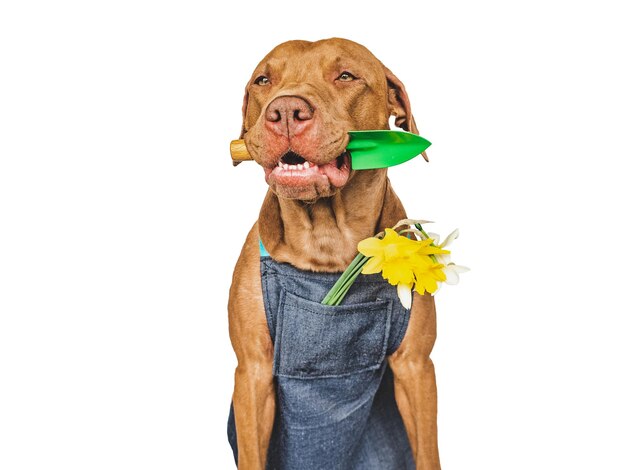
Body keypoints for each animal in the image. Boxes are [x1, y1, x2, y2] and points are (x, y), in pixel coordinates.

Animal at [228, 38, 438, 468]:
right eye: (263, 80)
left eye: (345, 76)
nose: (285, 111)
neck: (326, 242)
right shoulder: (252, 374)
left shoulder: (416, 368)